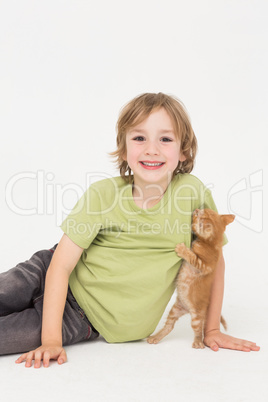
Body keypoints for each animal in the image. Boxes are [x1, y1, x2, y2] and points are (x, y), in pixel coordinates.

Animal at [147, 209, 234, 348]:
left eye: (202, 215)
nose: (197, 210)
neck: (209, 243)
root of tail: (187, 309)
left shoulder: (203, 265)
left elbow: (192, 257)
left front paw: (182, 249)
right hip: (176, 309)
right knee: (169, 326)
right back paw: (156, 337)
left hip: (196, 316)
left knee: (198, 329)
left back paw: (198, 342)